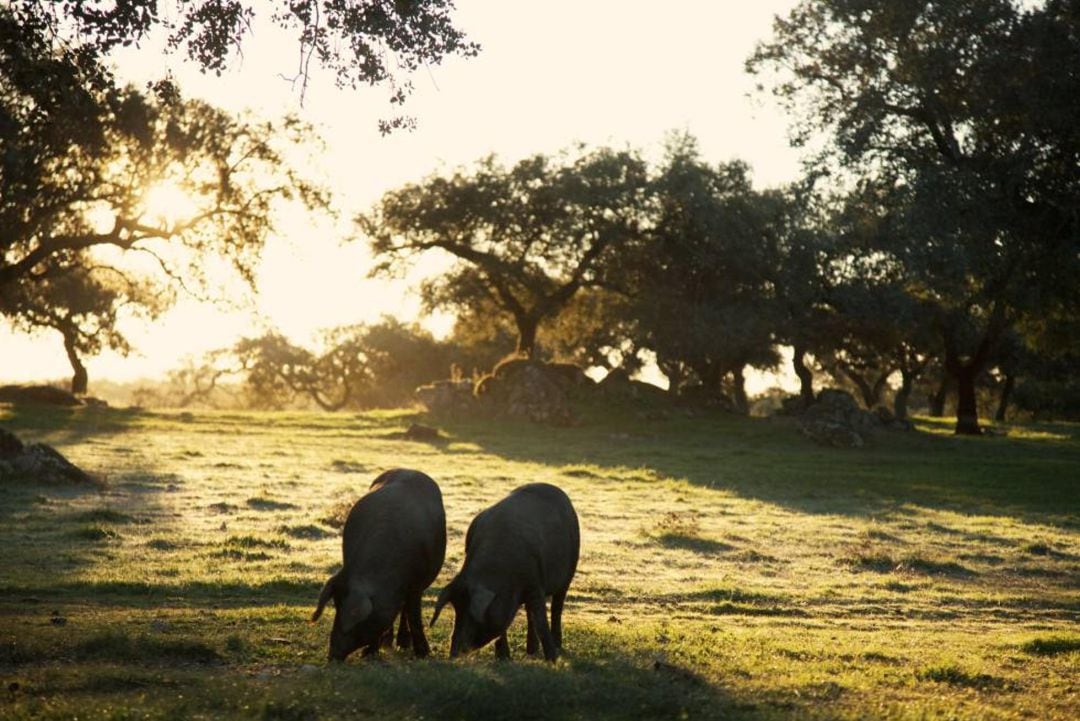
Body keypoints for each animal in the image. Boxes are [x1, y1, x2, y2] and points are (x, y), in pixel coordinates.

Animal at [311, 470, 444, 660]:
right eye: (336, 606)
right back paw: (387, 643)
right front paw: (369, 653)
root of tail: (409, 469)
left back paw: (403, 644)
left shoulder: (417, 584)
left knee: (405, 610)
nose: (332, 656)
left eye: (353, 616)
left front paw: (423, 654)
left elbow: (414, 615)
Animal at [432, 481, 583, 660]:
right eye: (457, 610)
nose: (453, 654)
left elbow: (541, 619)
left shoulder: (535, 582)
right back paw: (531, 651)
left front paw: (552, 659)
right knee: (530, 614)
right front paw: (503, 658)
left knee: (556, 608)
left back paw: (556, 646)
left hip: (569, 571)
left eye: (471, 614)